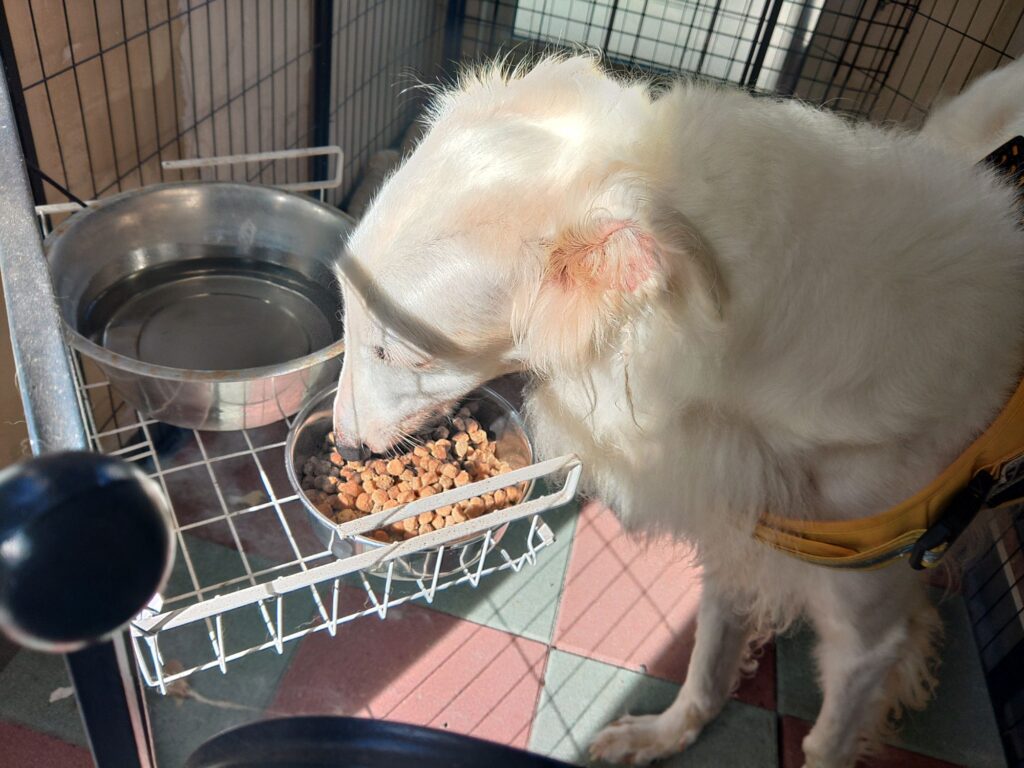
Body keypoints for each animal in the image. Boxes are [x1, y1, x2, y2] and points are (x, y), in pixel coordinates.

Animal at [331, 54, 1024, 767]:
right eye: (345, 312)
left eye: (396, 350)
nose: (344, 447)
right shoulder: (737, 527)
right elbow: (707, 667)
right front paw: (662, 734)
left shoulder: (870, 634)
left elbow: (827, 739)